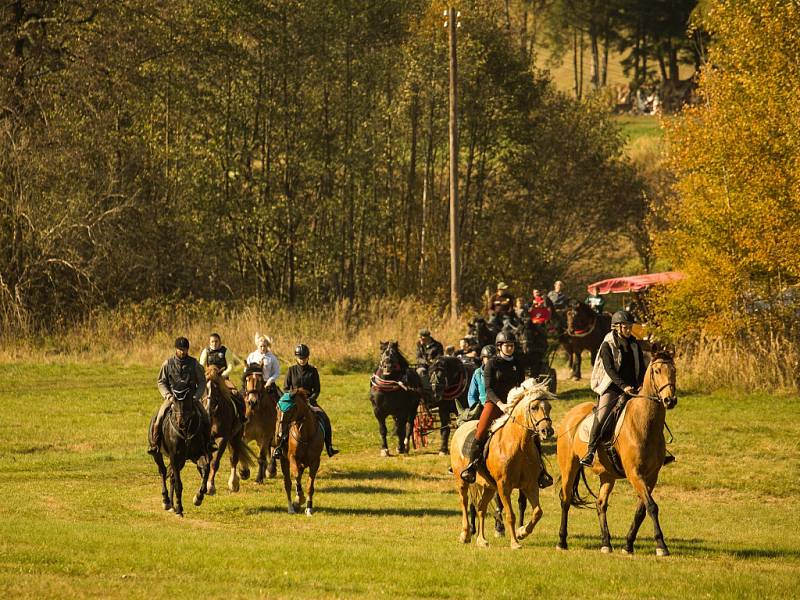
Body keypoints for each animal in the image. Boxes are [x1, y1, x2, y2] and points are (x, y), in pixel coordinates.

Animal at [203, 366, 256, 496]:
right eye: (204, 388)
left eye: (216, 388)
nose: (207, 409)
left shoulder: (223, 438)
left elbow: (215, 462)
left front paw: (210, 486)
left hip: (236, 436)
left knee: (234, 458)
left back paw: (234, 483)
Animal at [450, 380, 556, 548]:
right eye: (534, 407)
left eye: (549, 407)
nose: (547, 431)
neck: (518, 445)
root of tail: (461, 428)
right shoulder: (504, 486)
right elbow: (510, 515)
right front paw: (515, 543)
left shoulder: (530, 484)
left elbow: (538, 512)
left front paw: (522, 532)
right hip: (462, 481)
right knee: (464, 503)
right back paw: (465, 535)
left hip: (488, 486)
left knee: (481, 507)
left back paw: (481, 540)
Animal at [556, 350, 680, 556]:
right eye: (656, 371)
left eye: (674, 370)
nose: (670, 400)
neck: (644, 424)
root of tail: (570, 415)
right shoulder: (634, 473)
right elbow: (652, 506)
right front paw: (661, 546)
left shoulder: (651, 476)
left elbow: (642, 510)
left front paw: (628, 545)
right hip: (569, 467)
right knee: (565, 499)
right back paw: (562, 541)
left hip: (608, 475)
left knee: (600, 504)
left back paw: (606, 543)